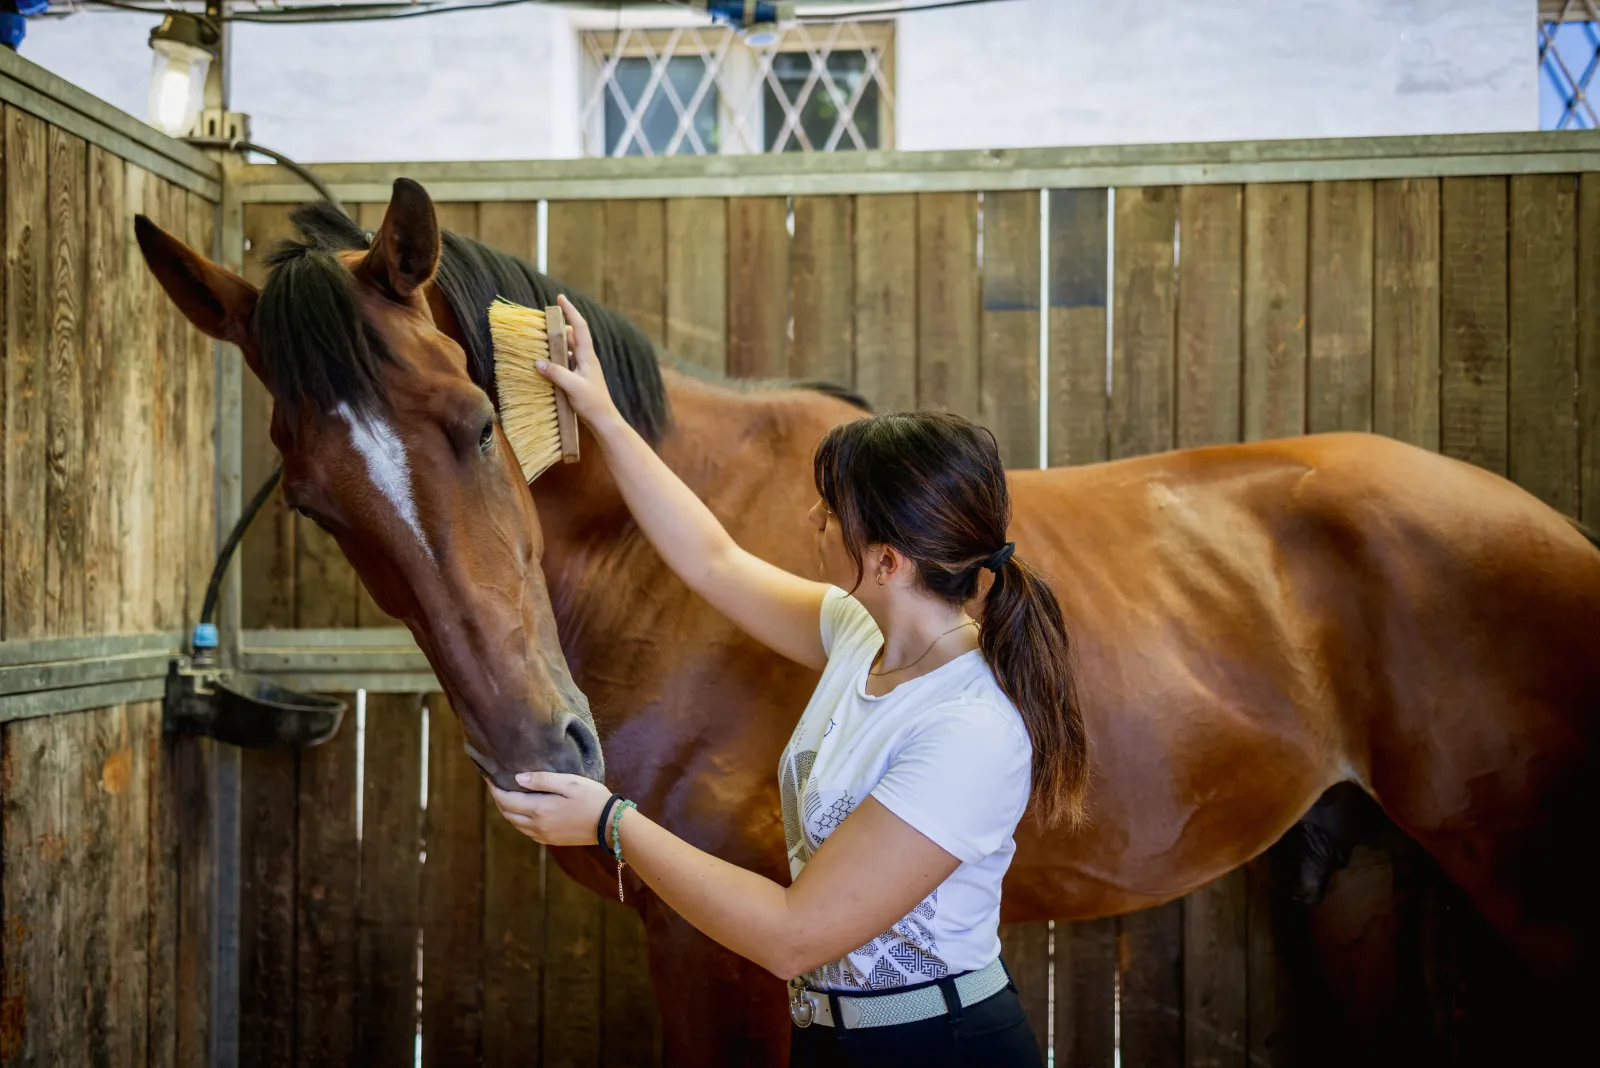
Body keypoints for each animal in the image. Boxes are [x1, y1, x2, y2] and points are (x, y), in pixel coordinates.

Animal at [135, 179, 1598, 1065]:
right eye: (317, 503)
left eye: (475, 424)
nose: (545, 753)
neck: (662, 573)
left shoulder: (722, 948)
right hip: (1354, 877)